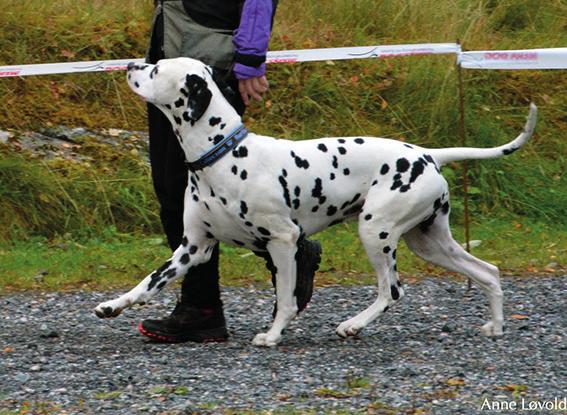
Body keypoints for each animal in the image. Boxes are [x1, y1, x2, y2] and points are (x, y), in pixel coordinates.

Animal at [94, 56, 536, 348]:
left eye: (156, 70)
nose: (131, 64)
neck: (221, 154)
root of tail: (428, 154)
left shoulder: (283, 241)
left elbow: (287, 300)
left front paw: (273, 335)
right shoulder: (193, 249)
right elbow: (148, 283)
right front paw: (113, 305)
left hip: (376, 232)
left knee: (391, 291)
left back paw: (353, 325)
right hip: (430, 243)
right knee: (488, 271)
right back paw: (496, 326)